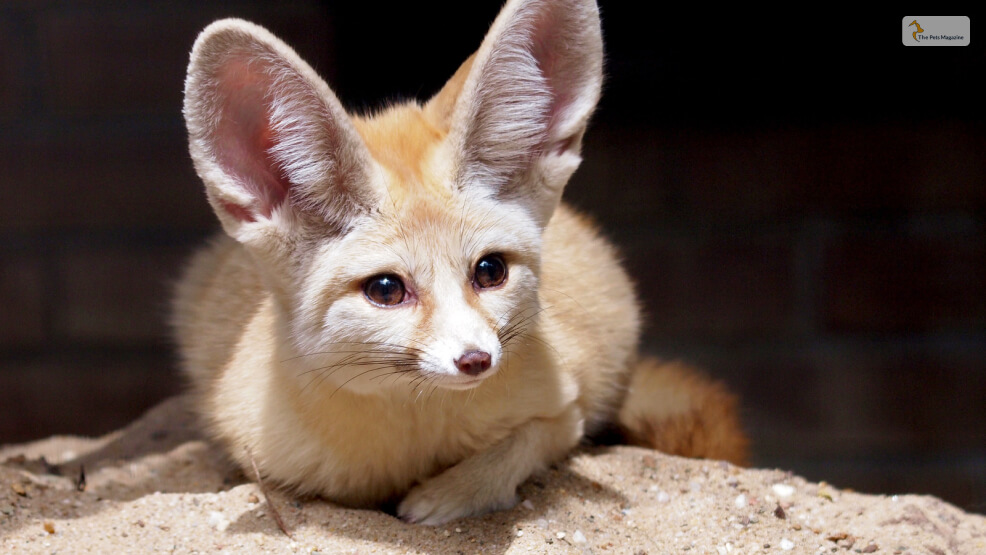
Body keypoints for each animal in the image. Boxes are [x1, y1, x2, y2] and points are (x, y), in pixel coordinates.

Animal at [177, 0, 744, 524]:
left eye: (490, 271)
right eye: (386, 289)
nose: (476, 360)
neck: (417, 435)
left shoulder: (566, 409)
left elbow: (518, 447)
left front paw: (444, 497)